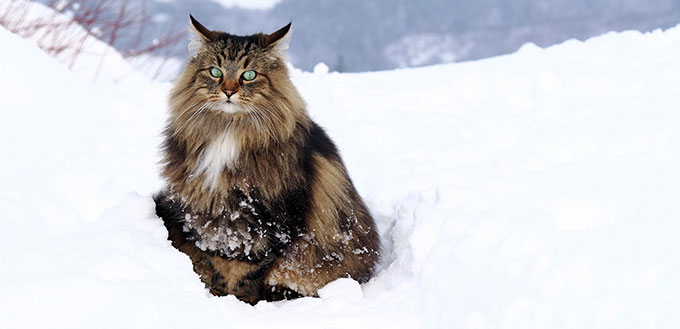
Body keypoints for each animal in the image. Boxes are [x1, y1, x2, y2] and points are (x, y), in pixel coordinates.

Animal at [153, 14, 382, 302]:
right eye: (215, 72)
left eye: (249, 75)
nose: (229, 91)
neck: (229, 130)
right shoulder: (209, 214)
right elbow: (218, 261)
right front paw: (219, 295)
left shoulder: (274, 219)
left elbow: (249, 269)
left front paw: (240, 302)